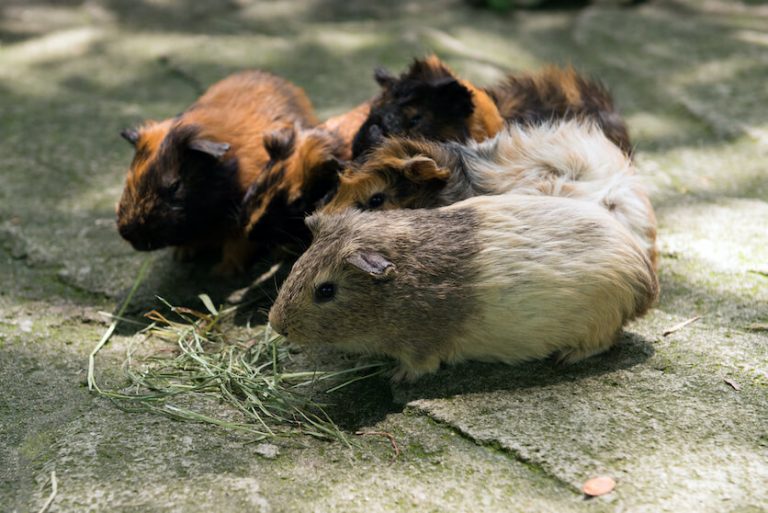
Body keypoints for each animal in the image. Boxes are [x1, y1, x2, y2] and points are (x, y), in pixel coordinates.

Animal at [116, 70, 317, 274]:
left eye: (174, 185)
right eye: (129, 178)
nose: (129, 234)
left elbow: (237, 247)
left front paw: (221, 271)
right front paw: (181, 255)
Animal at [268, 193, 659, 381]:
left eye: (326, 291)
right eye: (299, 262)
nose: (275, 324)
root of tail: (646, 281)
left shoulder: (421, 347)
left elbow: (418, 366)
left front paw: (395, 376)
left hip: (599, 323)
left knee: (603, 343)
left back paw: (565, 358)